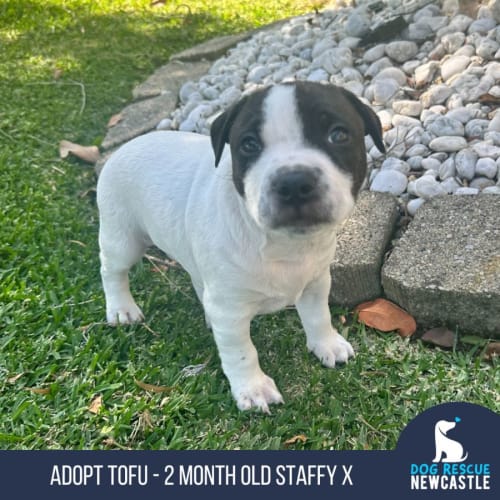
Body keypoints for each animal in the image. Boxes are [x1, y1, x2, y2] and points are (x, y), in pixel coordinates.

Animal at [95, 81, 384, 410]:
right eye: (249, 145)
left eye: (338, 135)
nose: (294, 183)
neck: (283, 244)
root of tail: (125, 147)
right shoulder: (230, 311)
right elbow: (242, 352)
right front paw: (253, 388)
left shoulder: (316, 282)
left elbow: (318, 316)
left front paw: (328, 344)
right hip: (123, 236)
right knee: (112, 270)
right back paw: (122, 309)